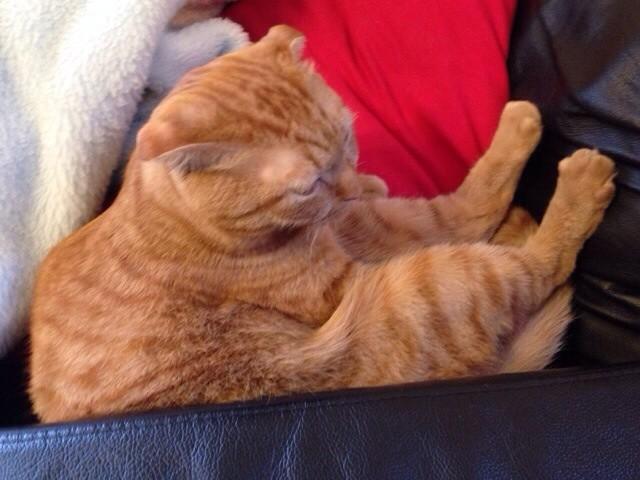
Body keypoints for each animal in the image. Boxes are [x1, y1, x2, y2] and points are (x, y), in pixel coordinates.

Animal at [29, 25, 616, 423]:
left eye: (348, 140)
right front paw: (519, 130)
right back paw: (576, 190)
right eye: (307, 185)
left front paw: (372, 182)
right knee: (538, 267)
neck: (176, 221)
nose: (346, 188)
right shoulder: (358, 251)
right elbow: (461, 206)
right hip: (430, 288)